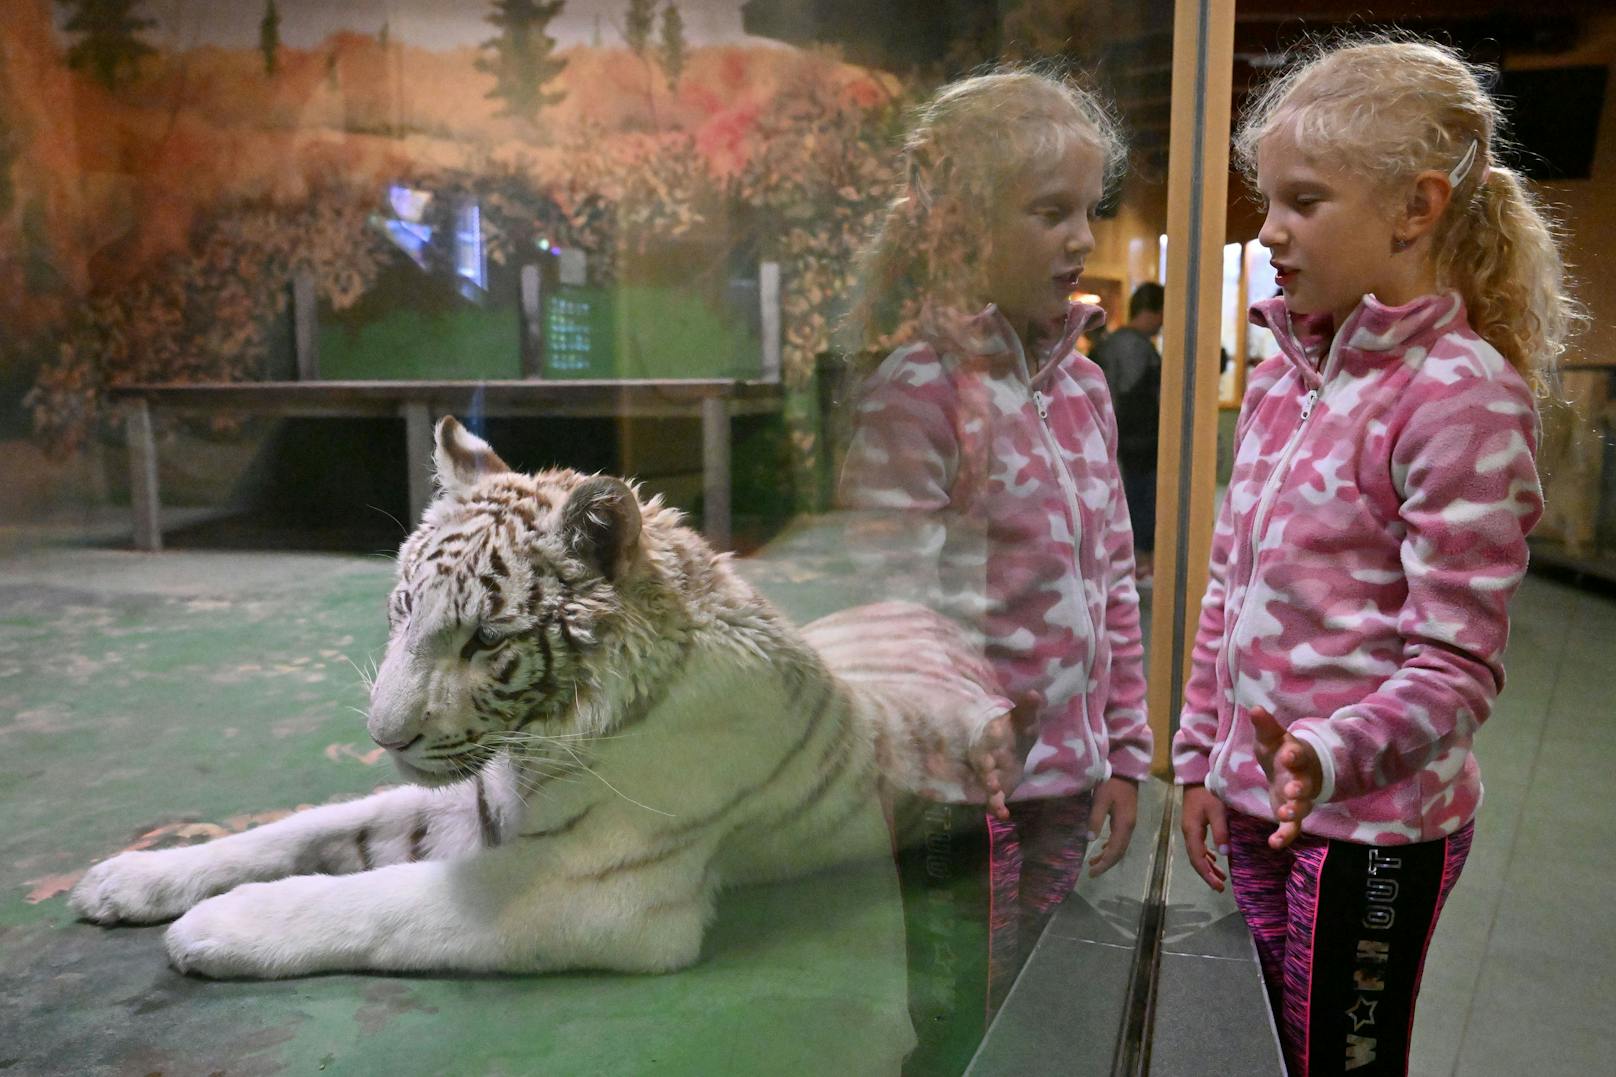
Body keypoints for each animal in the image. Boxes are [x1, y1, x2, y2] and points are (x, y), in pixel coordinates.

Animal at [69, 413, 1021, 976]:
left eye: (485, 641)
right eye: (404, 608)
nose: (384, 737)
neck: (544, 734)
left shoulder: (588, 888)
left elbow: (376, 900)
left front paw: (218, 926)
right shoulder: (471, 799)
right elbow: (301, 828)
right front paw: (126, 878)